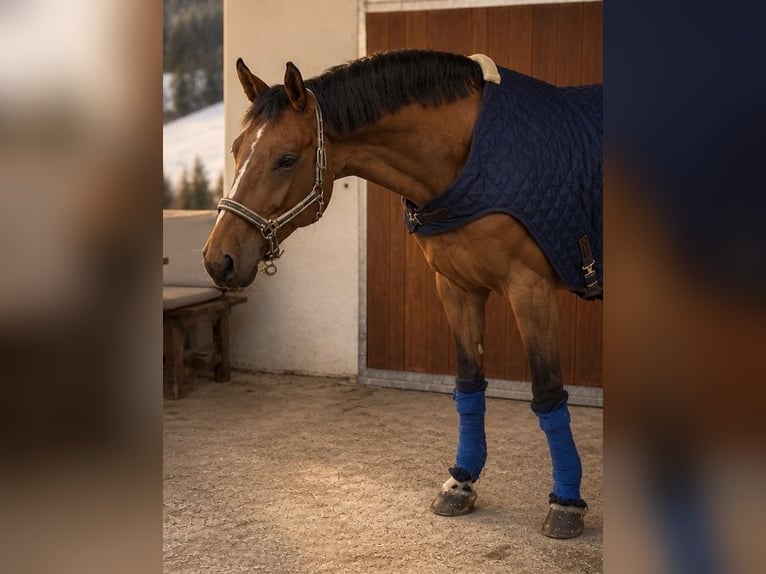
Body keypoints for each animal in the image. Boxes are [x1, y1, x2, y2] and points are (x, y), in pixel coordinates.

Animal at [203, 49, 602, 539]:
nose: (218, 259)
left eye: (286, 158)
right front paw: (461, 482)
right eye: (237, 149)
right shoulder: (457, 287)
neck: (469, 154)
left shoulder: (531, 290)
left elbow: (548, 392)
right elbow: (468, 384)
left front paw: (565, 502)